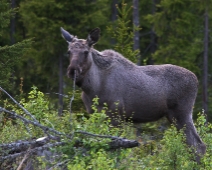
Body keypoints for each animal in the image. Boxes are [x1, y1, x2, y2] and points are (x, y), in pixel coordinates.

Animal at [60, 26, 205, 161]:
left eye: (85, 52)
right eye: (68, 51)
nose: (72, 71)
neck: (92, 87)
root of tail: (196, 80)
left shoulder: (115, 115)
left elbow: (115, 146)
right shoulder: (95, 114)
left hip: (182, 112)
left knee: (198, 145)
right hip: (174, 116)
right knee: (192, 145)